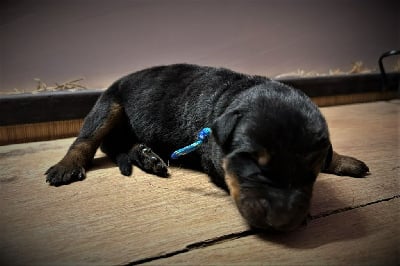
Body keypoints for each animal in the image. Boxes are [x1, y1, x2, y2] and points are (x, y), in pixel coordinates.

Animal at [44, 63, 368, 232]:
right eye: (251, 164)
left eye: (309, 173)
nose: (281, 221)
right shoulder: (216, 161)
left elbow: (327, 154)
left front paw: (345, 160)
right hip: (109, 105)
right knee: (85, 139)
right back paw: (66, 166)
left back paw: (148, 156)